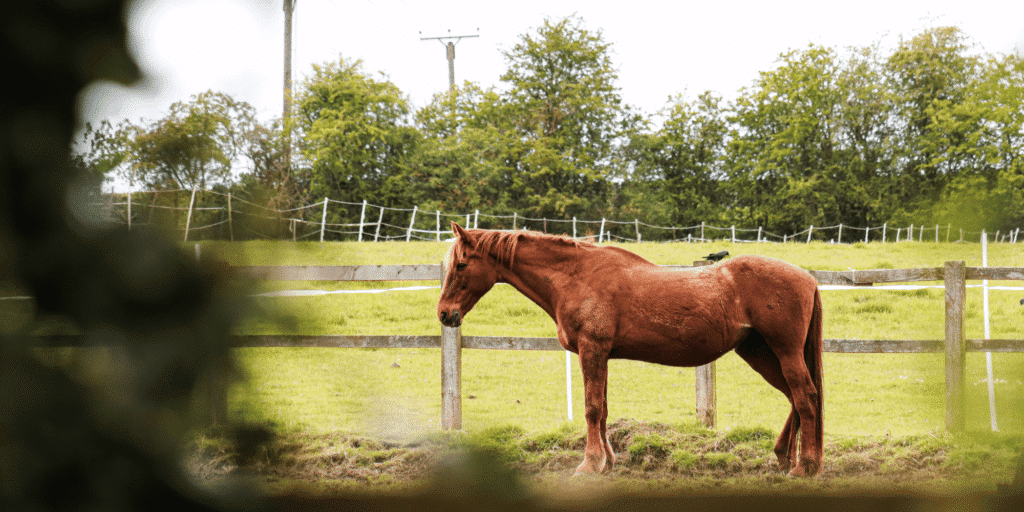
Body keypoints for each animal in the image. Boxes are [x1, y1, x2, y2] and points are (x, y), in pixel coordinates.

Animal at [434, 223, 823, 475]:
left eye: (461, 264)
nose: (444, 314)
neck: (576, 277)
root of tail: (807, 278)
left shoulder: (592, 351)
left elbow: (592, 408)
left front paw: (589, 465)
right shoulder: (600, 355)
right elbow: (603, 409)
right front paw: (607, 462)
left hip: (784, 352)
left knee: (805, 396)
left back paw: (805, 466)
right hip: (759, 353)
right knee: (795, 398)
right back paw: (786, 457)